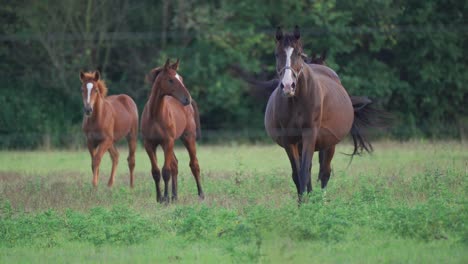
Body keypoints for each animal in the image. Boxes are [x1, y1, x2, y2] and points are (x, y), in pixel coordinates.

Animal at [140, 58, 204, 202]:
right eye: (170, 80)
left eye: (181, 78)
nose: (187, 98)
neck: (155, 115)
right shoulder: (149, 144)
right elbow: (156, 171)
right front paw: (160, 198)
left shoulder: (167, 141)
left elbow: (166, 171)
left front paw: (165, 199)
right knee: (175, 164)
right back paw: (174, 196)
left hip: (188, 138)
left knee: (194, 164)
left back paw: (201, 194)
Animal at [264, 25, 384, 201]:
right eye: (276, 54)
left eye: (298, 53)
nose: (287, 86)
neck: (296, 101)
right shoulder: (289, 141)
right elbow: (297, 174)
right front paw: (302, 203)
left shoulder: (310, 135)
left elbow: (305, 171)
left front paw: (309, 203)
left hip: (329, 144)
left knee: (324, 172)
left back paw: (322, 201)